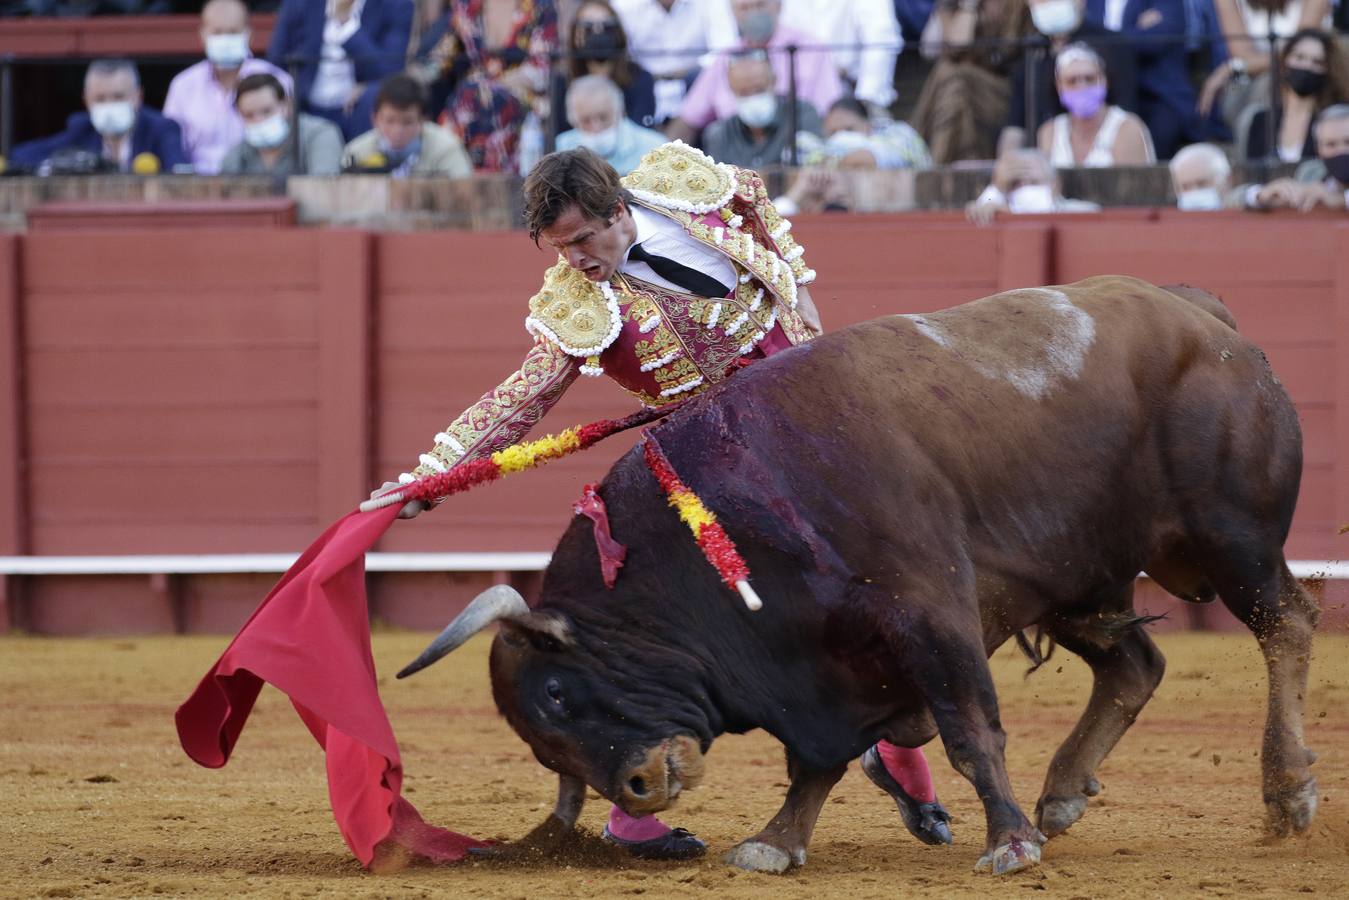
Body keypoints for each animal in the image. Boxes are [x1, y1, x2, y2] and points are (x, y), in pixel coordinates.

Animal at [396, 277, 1316, 874]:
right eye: (537, 732)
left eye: (556, 693)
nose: (640, 786)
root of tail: (1202, 315)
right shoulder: (825, 665)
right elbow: (815, 759)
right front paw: (774, 843)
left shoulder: (931, 610)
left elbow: (968, 730)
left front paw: (1008, 843)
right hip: (1082, 578)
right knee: (1134, 663)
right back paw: (1062, 796)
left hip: (1232, 539)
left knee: (1285, 626)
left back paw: (1287, 793)